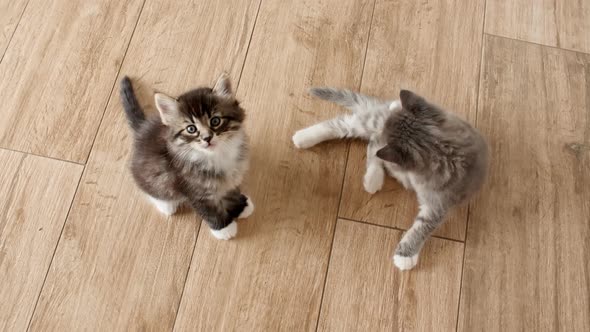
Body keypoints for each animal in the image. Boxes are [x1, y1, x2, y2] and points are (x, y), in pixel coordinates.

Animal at [120, 73, 254, 239]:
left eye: (215, 121)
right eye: (191, 129)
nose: (207, 138)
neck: (216, 156)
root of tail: (141, 129)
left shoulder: (231, 177)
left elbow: (231, 193)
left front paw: (241, 207)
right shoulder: (194, 191)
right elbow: (210, 211)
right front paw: (224, 229)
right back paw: (166, 205)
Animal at [294, 87, 488, 270]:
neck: (442, 149)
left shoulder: (440, 203)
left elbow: (422, 227)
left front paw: (405, 255)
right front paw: (405, 257)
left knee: (371, 145)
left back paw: (373, 178)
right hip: (371, 124)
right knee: (348, 128)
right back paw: (304, 137)